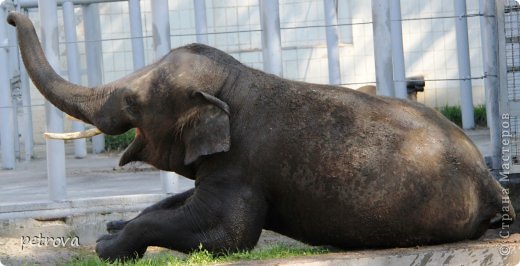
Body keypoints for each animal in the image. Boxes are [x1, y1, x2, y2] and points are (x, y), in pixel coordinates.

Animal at [7, 12, 516, 262]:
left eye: (132, 102)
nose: (12, 15)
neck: (234, 83)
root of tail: (492, 182)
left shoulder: (243, 164)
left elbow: (227, 234)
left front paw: (106, 248)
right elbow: (178, 203)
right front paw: (115, 226)